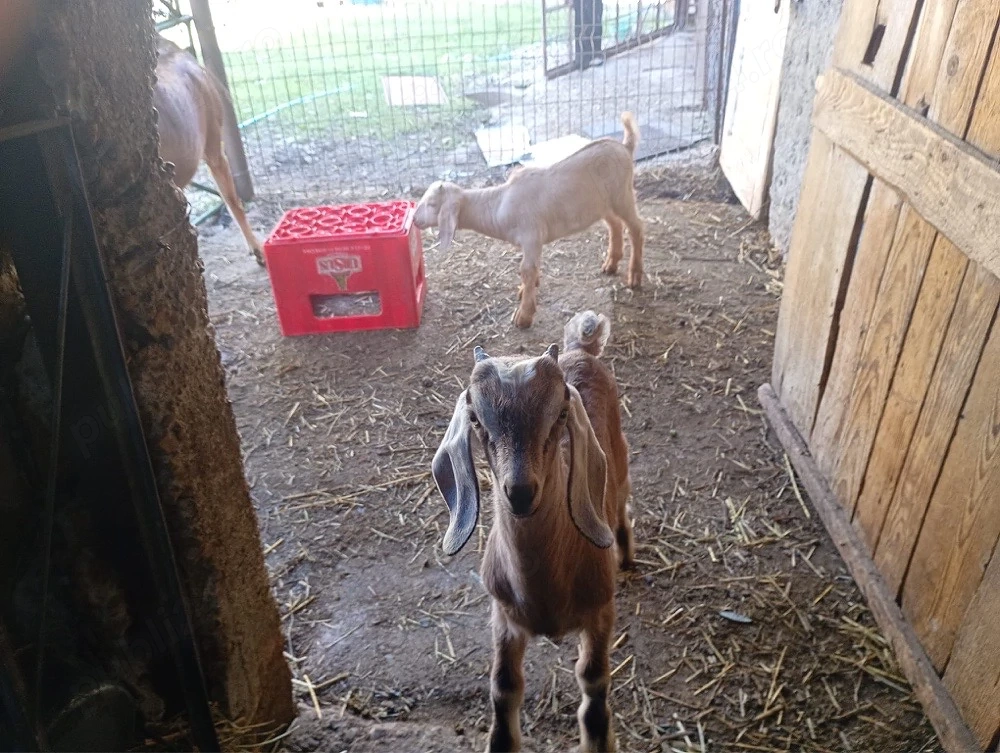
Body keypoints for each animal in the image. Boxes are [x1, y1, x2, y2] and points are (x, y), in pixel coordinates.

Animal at [413, 113, 644, 329]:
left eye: (432, 204)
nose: (414, 219)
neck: (498, 204)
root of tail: (624, 147)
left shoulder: (532, 236)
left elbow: (527, 269)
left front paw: (524, 315)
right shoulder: (529, 242)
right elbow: (528, 270)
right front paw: (526, 290)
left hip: (623, 195)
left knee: (636, 227)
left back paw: (634, 276)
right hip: (603, 203)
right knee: (614, 224)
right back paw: (611, 264)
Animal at [432, 311, 634, 752]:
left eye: (559, 414)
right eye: (476, 419)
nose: (521, 493)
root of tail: (579, 349)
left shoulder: (601, 612)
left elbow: (594, 684)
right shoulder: (504, 618)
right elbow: (504, 686)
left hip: (621, 459)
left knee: (622, 505)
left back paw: (627, 556)